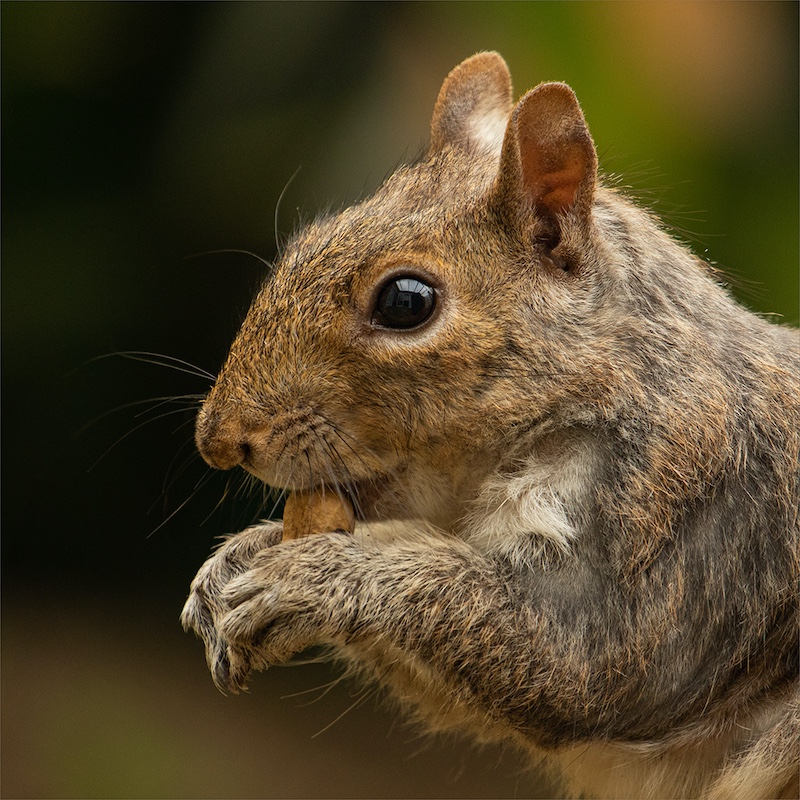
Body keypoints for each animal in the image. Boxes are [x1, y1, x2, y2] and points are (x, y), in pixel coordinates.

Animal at [181, 52, 799, 799]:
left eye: (405, 302)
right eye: (304, 243)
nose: (219, 441)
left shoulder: (688, 531)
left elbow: (584, 662)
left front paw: (314, 574)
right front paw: (238, 557)